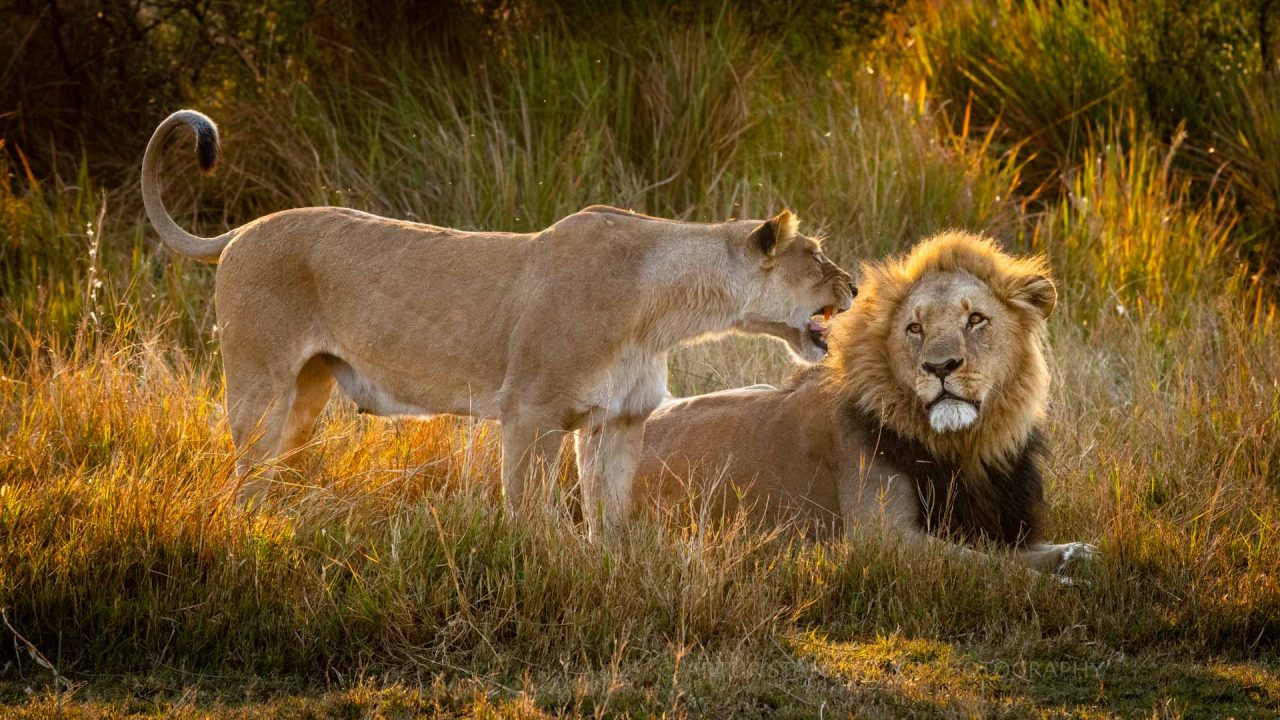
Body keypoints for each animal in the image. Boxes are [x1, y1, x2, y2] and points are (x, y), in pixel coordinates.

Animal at [140, 107, 855, 532]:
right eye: (817, 255)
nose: (853, 284)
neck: (663, 311)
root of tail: (242, 229)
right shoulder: (530, 411)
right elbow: (529, 515)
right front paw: (538, 572)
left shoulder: (620, 421)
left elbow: (610, 521)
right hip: (259, 386)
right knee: (242, 472)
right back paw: (247, 534)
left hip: (306, 393)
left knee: (270, 471)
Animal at [634, 229, 1095, 571]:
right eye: (914, 328)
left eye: (976, 319)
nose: (940, 366)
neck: (963, 447)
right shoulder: (884, 537)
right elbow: (992, 566)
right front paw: (1057, 584)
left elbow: (1020, 552)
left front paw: (1079, 555)